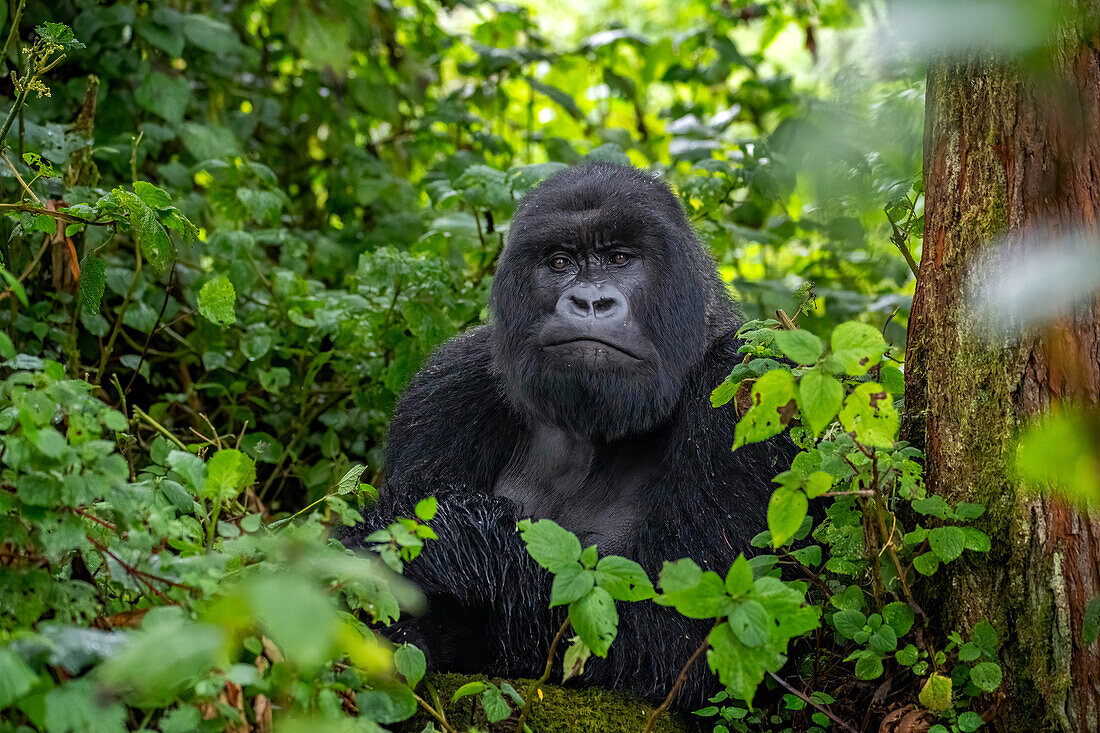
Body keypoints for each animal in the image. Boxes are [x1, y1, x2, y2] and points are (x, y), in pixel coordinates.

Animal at [338, 161, 796, 708]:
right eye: (559, 262)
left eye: (620, 258)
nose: (589, 300)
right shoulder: (444, 389)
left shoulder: (747, 389)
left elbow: (687, 633)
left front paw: (444, 543)